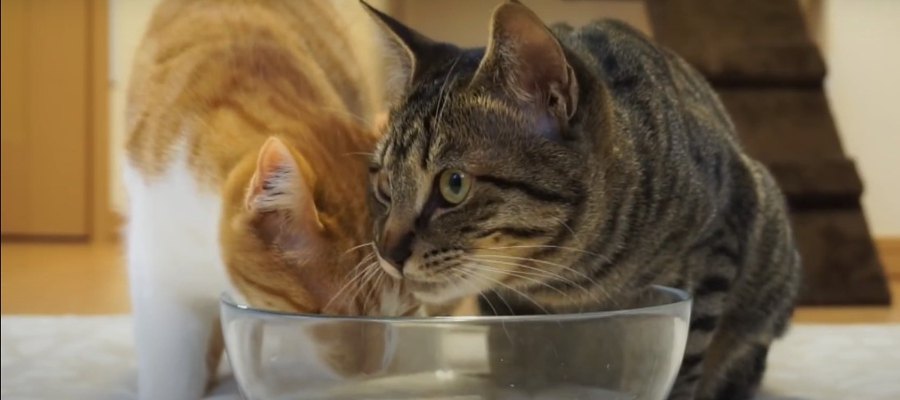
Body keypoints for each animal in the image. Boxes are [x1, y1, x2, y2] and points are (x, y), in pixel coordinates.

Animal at [362, 1, 800, 398]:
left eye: (454, 184)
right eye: (384, 183)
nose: (387, 251)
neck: (569, 282)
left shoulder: (720, 236)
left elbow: (689, 356)